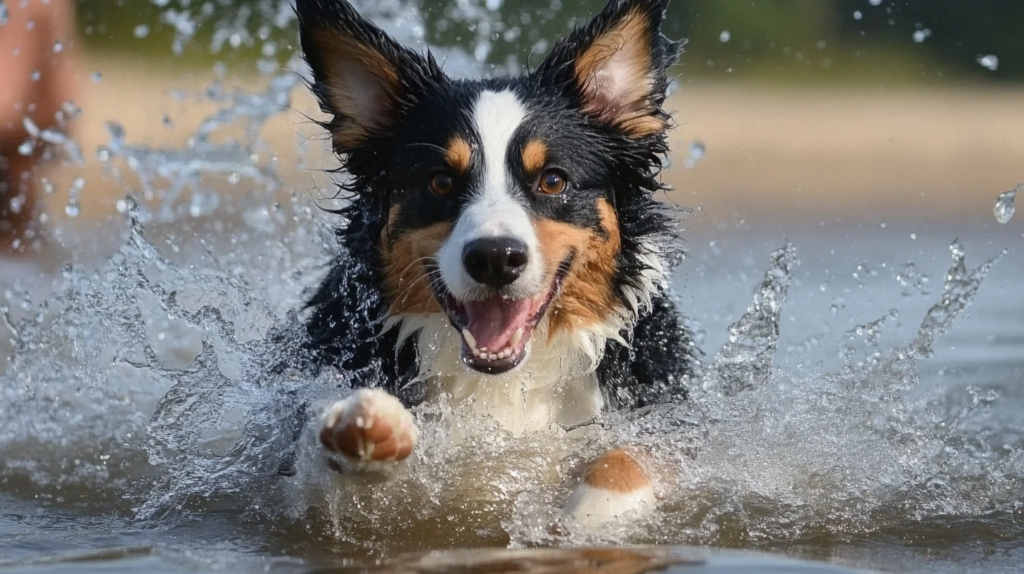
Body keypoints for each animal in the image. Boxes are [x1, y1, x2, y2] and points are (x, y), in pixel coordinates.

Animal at [292, 0, 700, 527]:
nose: (495, 258)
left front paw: (594, 510)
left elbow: (635, 454)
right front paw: (365, 429)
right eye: (440, 181)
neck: (507, 381)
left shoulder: (666, 413)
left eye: (552, 180)